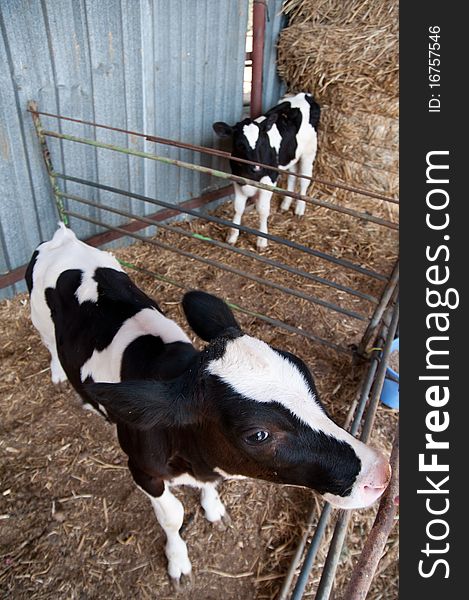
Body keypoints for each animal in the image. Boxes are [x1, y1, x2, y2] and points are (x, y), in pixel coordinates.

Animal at [26, 225, 392, 584]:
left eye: (306, 374)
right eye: (258, 434)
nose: (381, 472)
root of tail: (64, 237)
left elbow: (210, 489)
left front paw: (213, 508)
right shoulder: (141, 469)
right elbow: (172, 517)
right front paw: (178, 561)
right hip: (38, 319)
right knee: (50, 344)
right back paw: (61, 376)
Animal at [212, 89, 318, 248]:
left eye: (262, 142)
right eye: (240, 144)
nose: (256, 168)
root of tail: (305, 94)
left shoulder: (269, 180)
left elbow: (262, 210)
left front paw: (262, 240)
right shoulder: (237, 179)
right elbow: (238, 208)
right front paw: (233, 236)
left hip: (309, 152)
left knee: (305, 180)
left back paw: (299, 209)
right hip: (291, 154)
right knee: (292, 177)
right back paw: (285, 205)